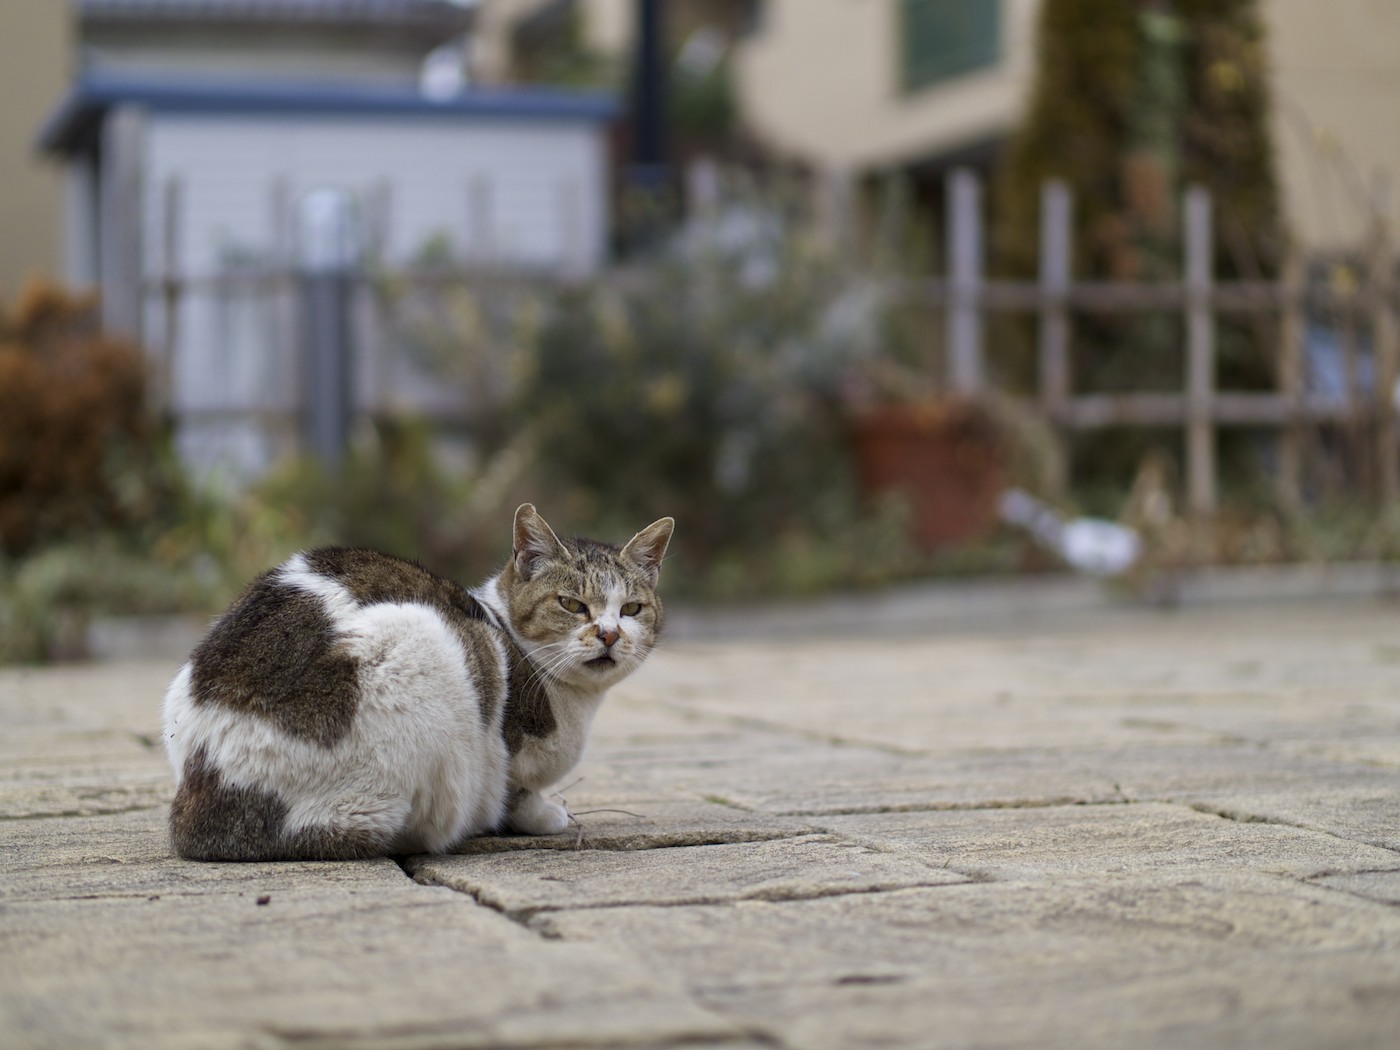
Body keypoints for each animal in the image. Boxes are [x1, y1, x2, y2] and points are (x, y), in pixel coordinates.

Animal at [161, 504, 674, 862]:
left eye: (631, 609)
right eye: (571, 605)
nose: (609, 634)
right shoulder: (504, 737)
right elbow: (516, 789)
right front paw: (543, 813)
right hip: (436, 648)